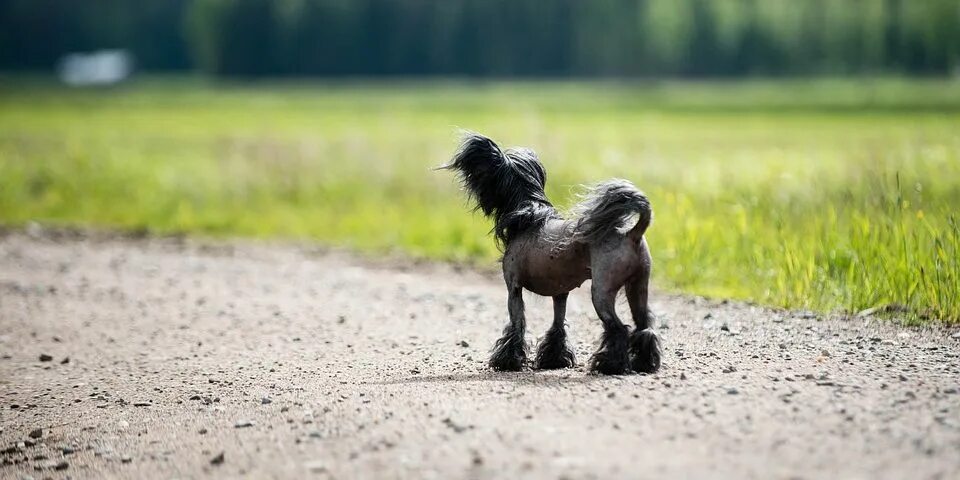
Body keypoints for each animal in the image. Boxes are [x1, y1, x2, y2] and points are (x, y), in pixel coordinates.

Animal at [440, 132, 660, 376]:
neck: (529, 213)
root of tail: (633, 233)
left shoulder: (513, 289)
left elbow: (516, 326)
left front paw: (507, 361)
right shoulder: (560, 293)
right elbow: (557, 326)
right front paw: (554, 359)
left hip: (602, 291)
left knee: (619, 329)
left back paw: (610, 365)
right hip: (638, 286)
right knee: (644, 327)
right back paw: (644, 363)